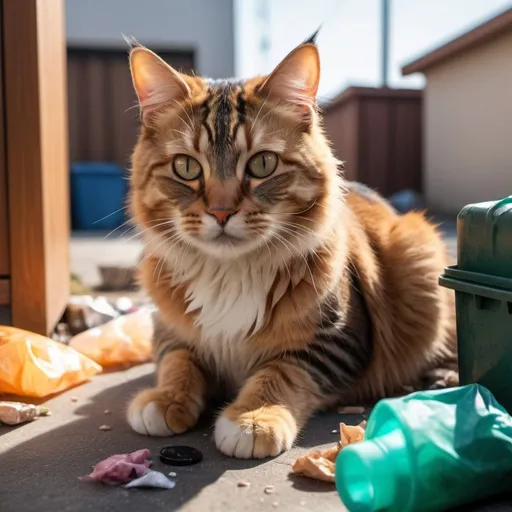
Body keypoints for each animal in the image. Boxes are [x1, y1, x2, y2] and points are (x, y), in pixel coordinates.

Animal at [126, 38, 458, 458]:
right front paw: (163, 400)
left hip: (421, 258)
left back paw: (443, 377)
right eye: (186, 168)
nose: (221, 212)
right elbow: (178, 362)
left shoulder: (335, 342)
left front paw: (251, 419)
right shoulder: (169, 331)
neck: (229, 273)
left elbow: (280, 372)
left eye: (263, 164)